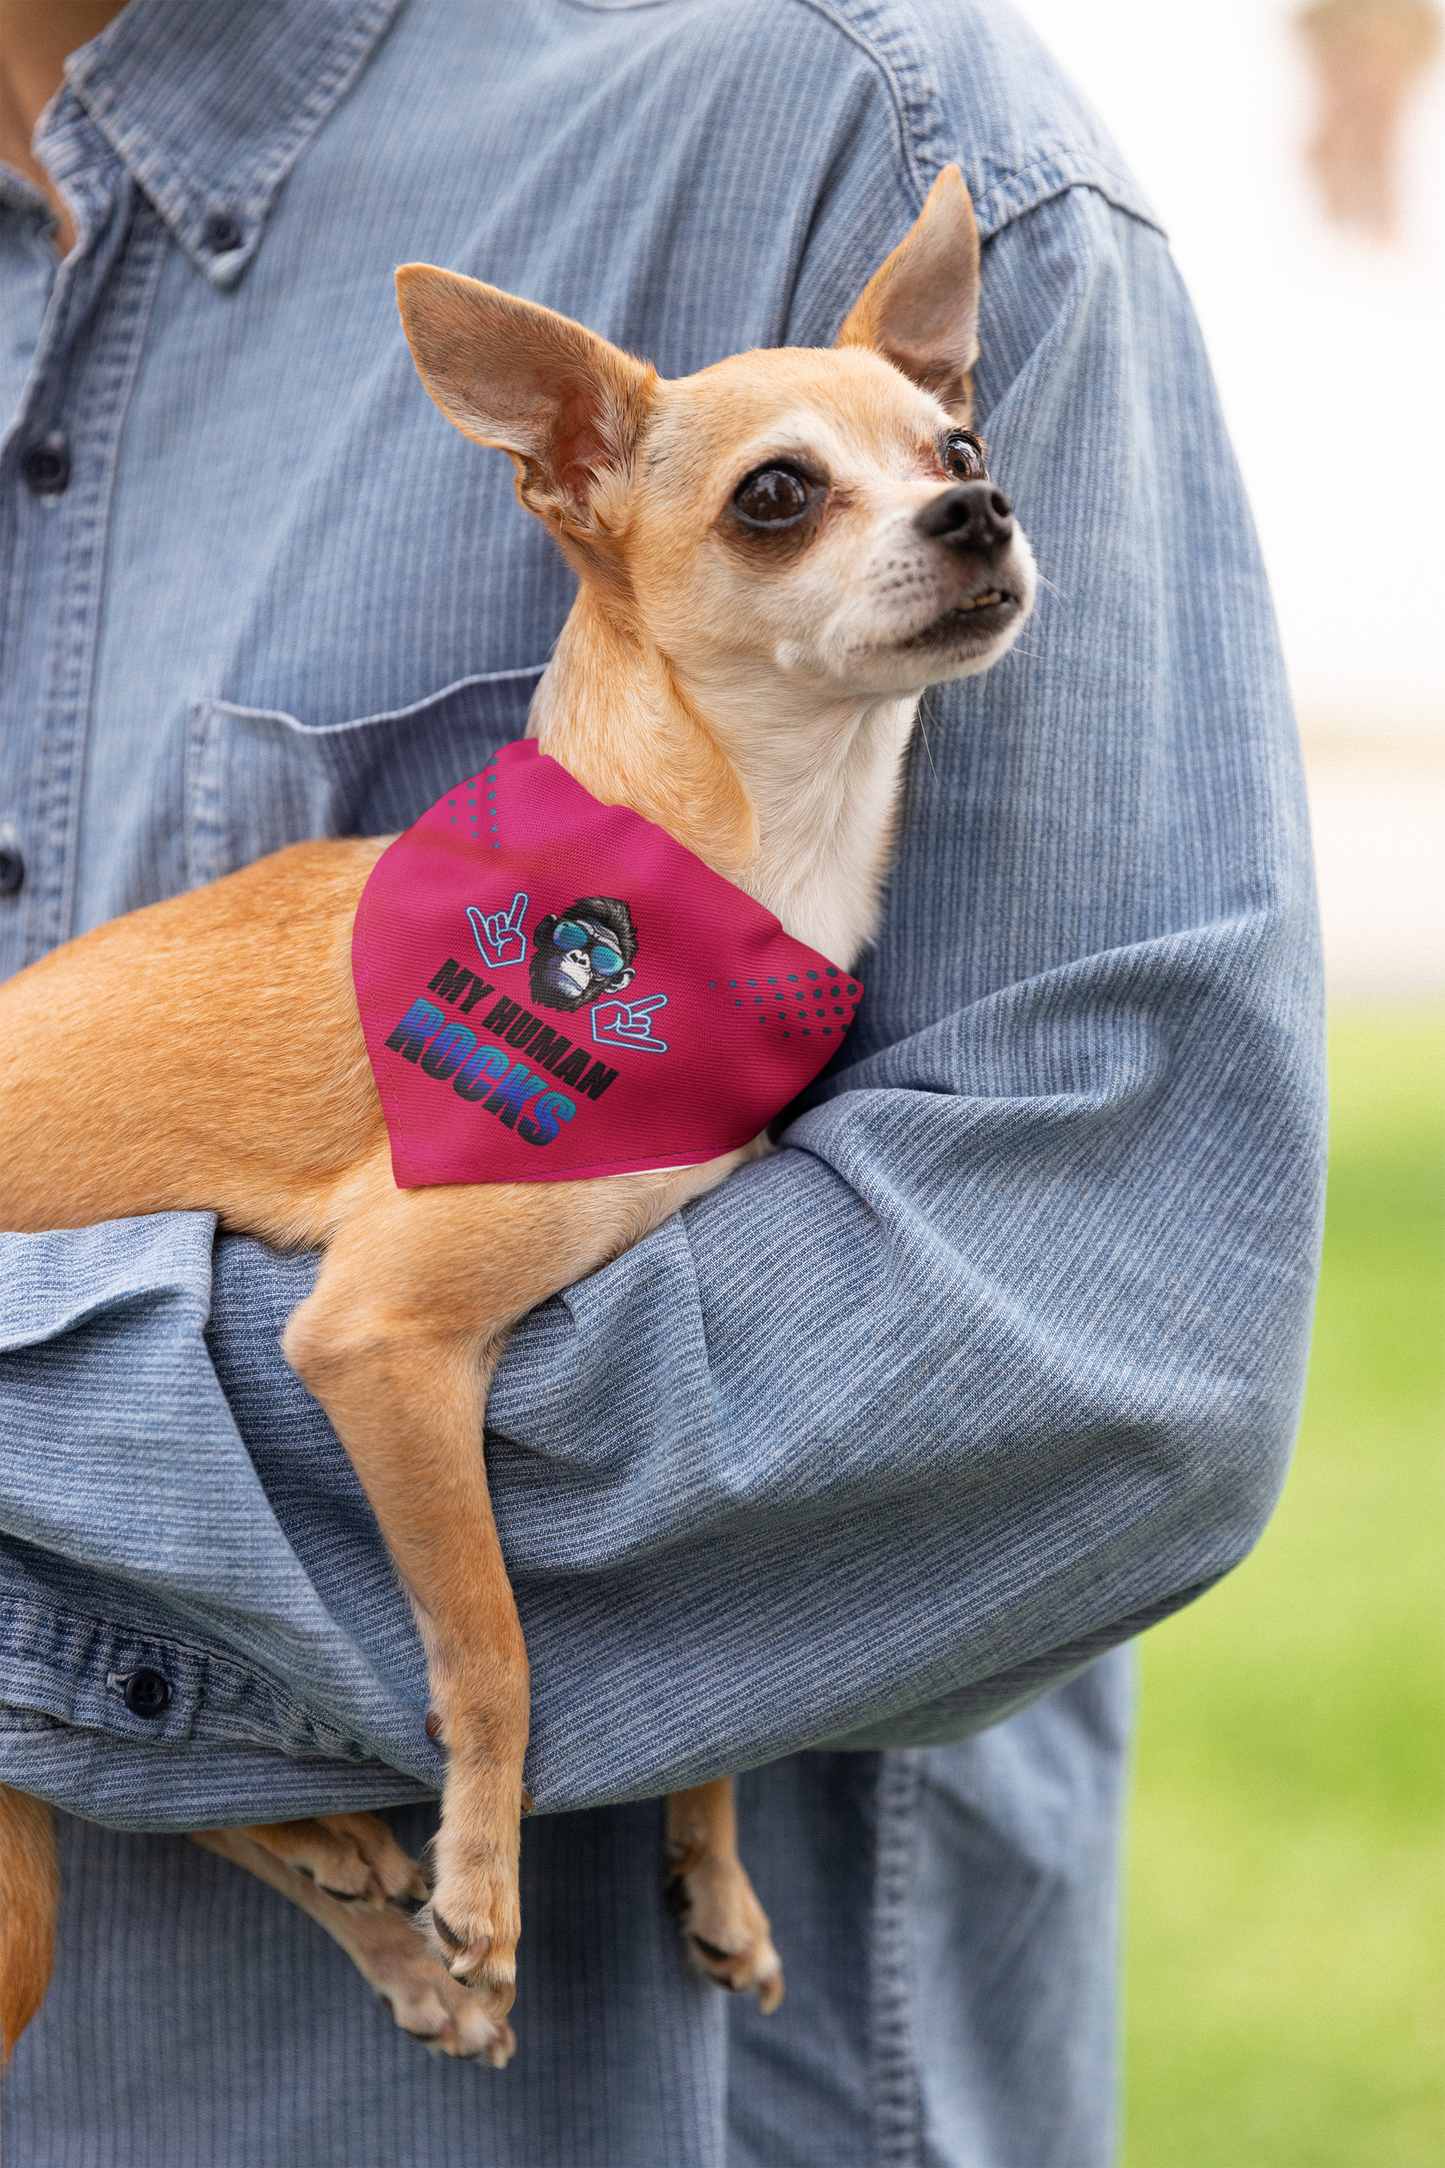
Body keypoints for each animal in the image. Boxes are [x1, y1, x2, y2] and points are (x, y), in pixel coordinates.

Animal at [0, 169, 1035, 2063]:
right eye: (778, 493)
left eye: (960, 438)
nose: (980, 508)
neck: (725, 867)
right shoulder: (381, 1341)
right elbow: (493, 1644)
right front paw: (484, 1880)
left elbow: (712, 1681)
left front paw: (706, 1863)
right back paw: (372, 1877)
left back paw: (350, 1876)